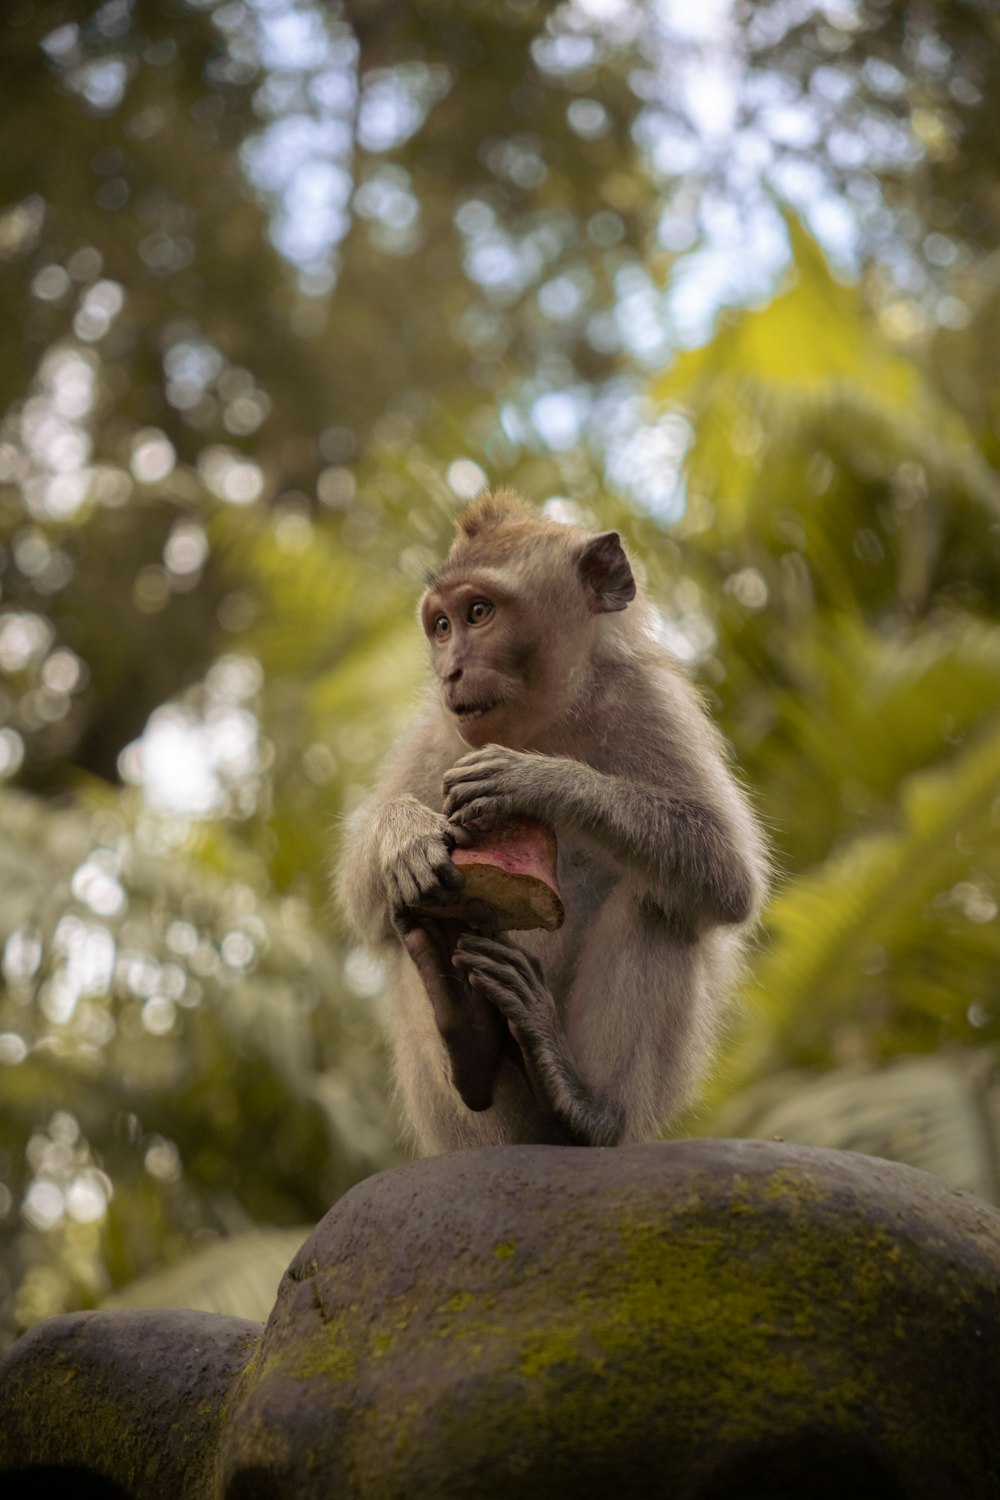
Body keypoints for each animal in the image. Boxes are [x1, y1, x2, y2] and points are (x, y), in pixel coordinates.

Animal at [335, 489, 767, 1146]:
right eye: (441, 626)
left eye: (479, 612)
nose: (450, 670)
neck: (547, 721)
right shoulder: (438, 730)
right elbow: (362, 900)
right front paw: (403, 836)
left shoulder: (648, 702)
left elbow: (726, 874)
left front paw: (535, 779)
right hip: (477, 1126)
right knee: (404, 912)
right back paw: (466, 1033)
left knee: (659, 902)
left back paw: (581, 1105)